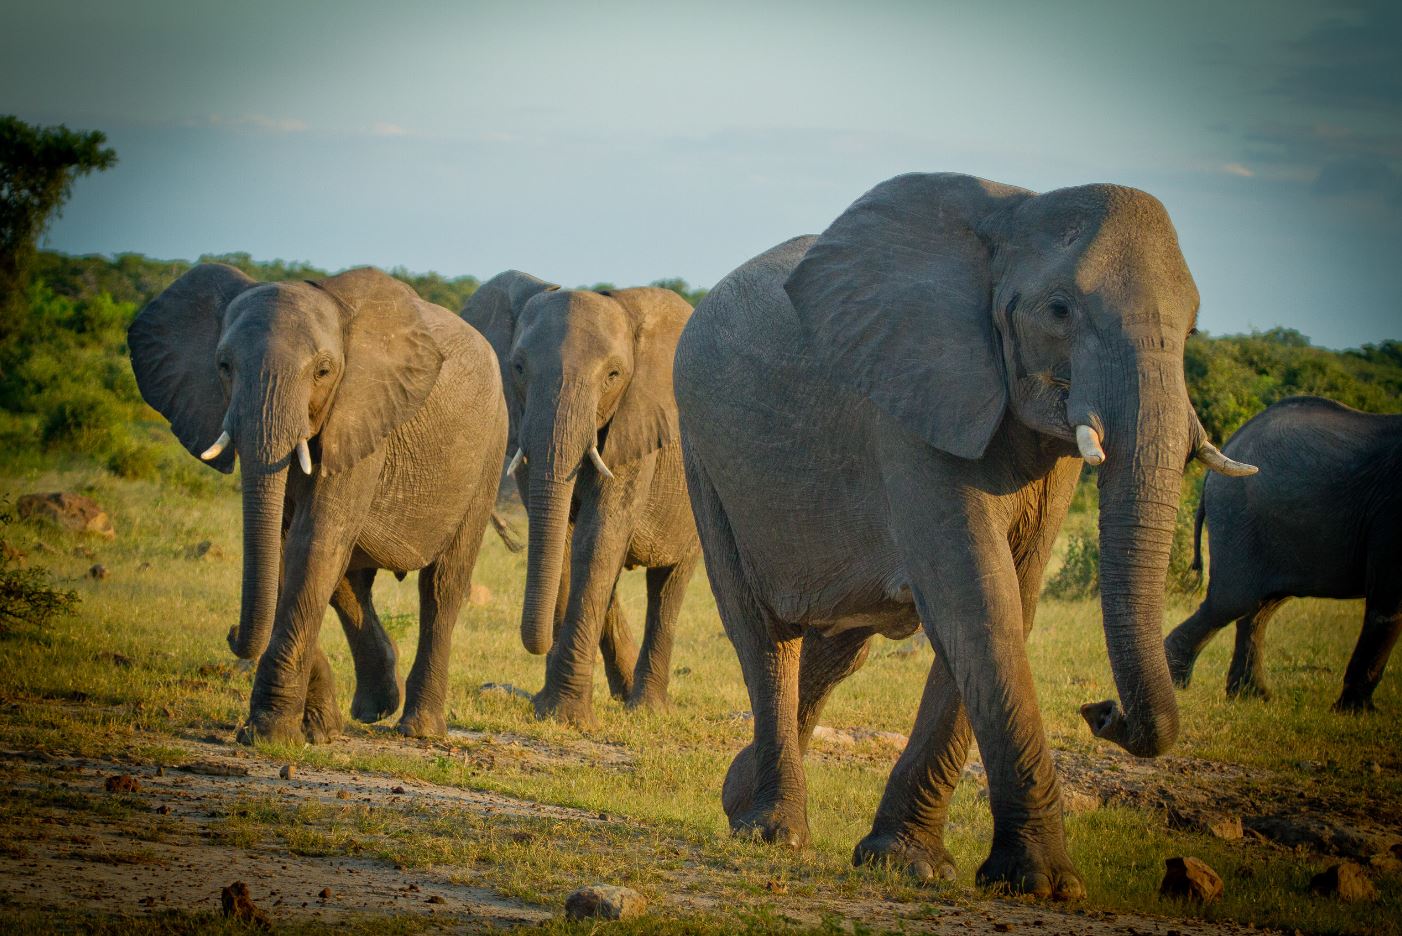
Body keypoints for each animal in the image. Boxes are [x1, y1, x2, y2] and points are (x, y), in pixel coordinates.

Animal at [129, 263, 508, 743]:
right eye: (224, 366)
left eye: (324, 371)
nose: (232, 633)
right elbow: (285, 551)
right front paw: (314, 730)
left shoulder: (362, 414)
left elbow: (312, 544)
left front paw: (271, 734)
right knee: (350, 580)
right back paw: (374, 708)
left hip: (490, 451)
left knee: (442, 585)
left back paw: (417, 729)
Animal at [463, 274, 701, 725]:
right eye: (518, 368)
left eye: (613, 374)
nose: (538, 643)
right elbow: (567, 544)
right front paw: (548, 709)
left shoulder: (636, 423)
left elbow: (599, 538)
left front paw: (565, 716)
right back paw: (625, 693)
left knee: (669, 585)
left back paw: (647, 708)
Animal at [673, 172, 1257, 898]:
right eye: (1059, 310)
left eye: (1195, 326)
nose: (1101, 712)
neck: (1012, 218)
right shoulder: (913, 404)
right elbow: (978, 599)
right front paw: (1044, 884)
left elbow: (1009, 599)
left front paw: (908, 862)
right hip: (705, 456)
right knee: (763, 635)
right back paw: (773, 831)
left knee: (840, 648)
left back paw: (739, 794)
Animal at [1164, 396, 1402, 711]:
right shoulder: (1390, 515)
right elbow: (1388, 604)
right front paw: (1357, 712)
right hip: (1238, 516)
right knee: (1231, 601)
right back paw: (1179, 683)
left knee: (1260, 607)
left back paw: (1252, 695)